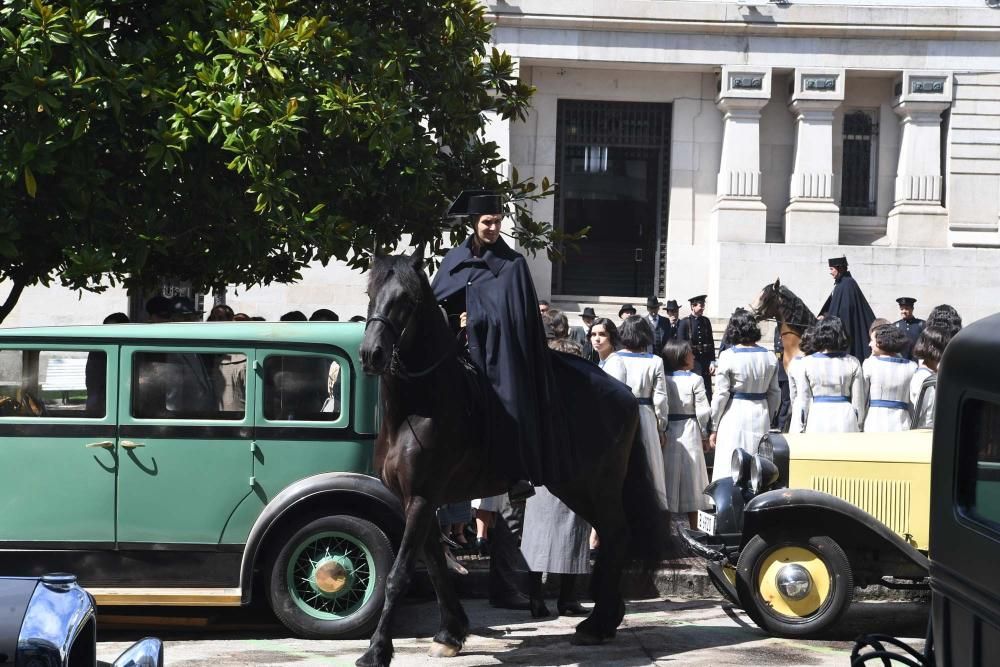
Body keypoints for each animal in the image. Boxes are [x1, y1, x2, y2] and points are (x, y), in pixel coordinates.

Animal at [356, 250, 668, 667]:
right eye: (370, 292)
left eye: (406, 299)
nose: (371, 354)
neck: (418, 405)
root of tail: (625, 393)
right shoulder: (417, 500)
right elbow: (435, 566)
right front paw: (450, 632)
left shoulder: (422, 497)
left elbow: (399, 574)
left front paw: (377, 650)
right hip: (576, 487)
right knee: (613, 534)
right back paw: (606, 618)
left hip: (598, 486)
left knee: (617, 534)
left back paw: (598, 623)